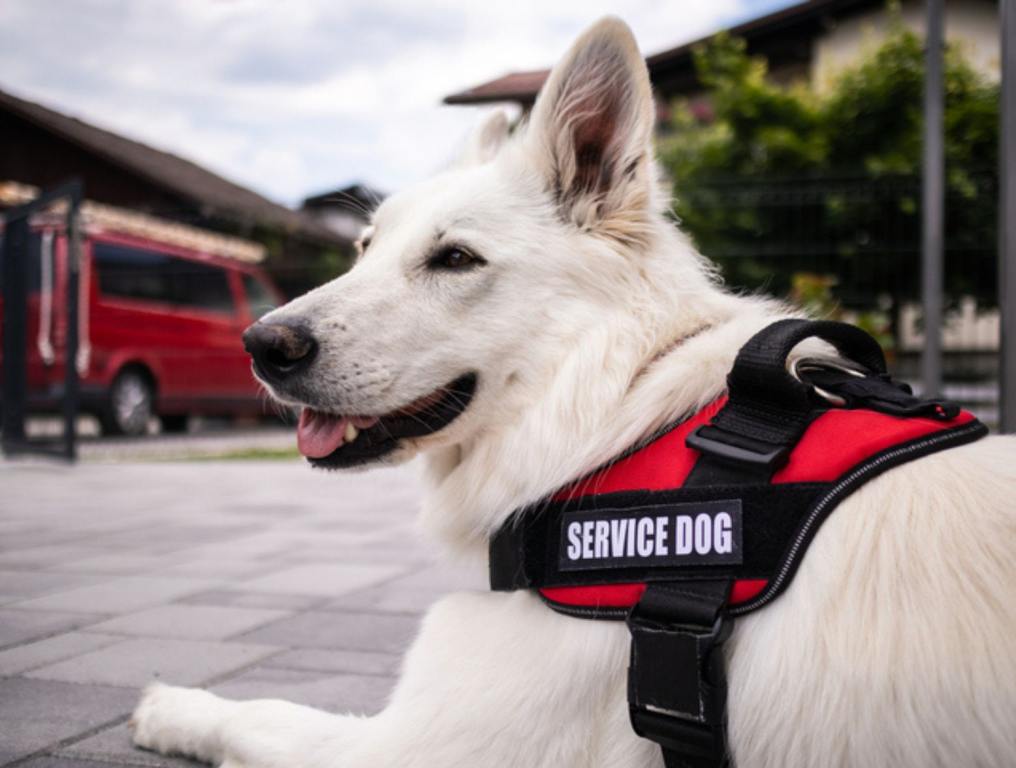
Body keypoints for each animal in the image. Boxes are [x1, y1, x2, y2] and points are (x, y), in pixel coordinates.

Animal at [131, 16, 1016, 768]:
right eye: (364, 249)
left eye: (455, 259)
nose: (262, 344)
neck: (616, 407)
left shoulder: (416, 745)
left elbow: (263, 713)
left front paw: (174, 707)